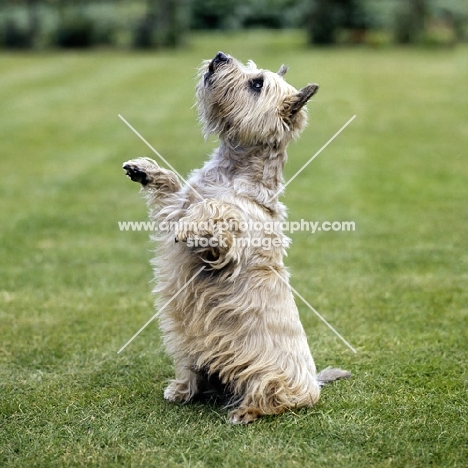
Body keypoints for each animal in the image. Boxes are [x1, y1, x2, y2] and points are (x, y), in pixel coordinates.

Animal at [122, 51, 350, 424]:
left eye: (257, 83)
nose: (219, 56)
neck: (232, 169)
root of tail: (313, 383)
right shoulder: (174, 208)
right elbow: (173, 192)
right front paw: (145, 169)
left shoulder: (226, 245)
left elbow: (218, 212)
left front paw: (201, 219)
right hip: (190, 350)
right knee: (194, 375)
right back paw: (182, 390)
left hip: (268, 373)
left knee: (271, 396)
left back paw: (244, 411)